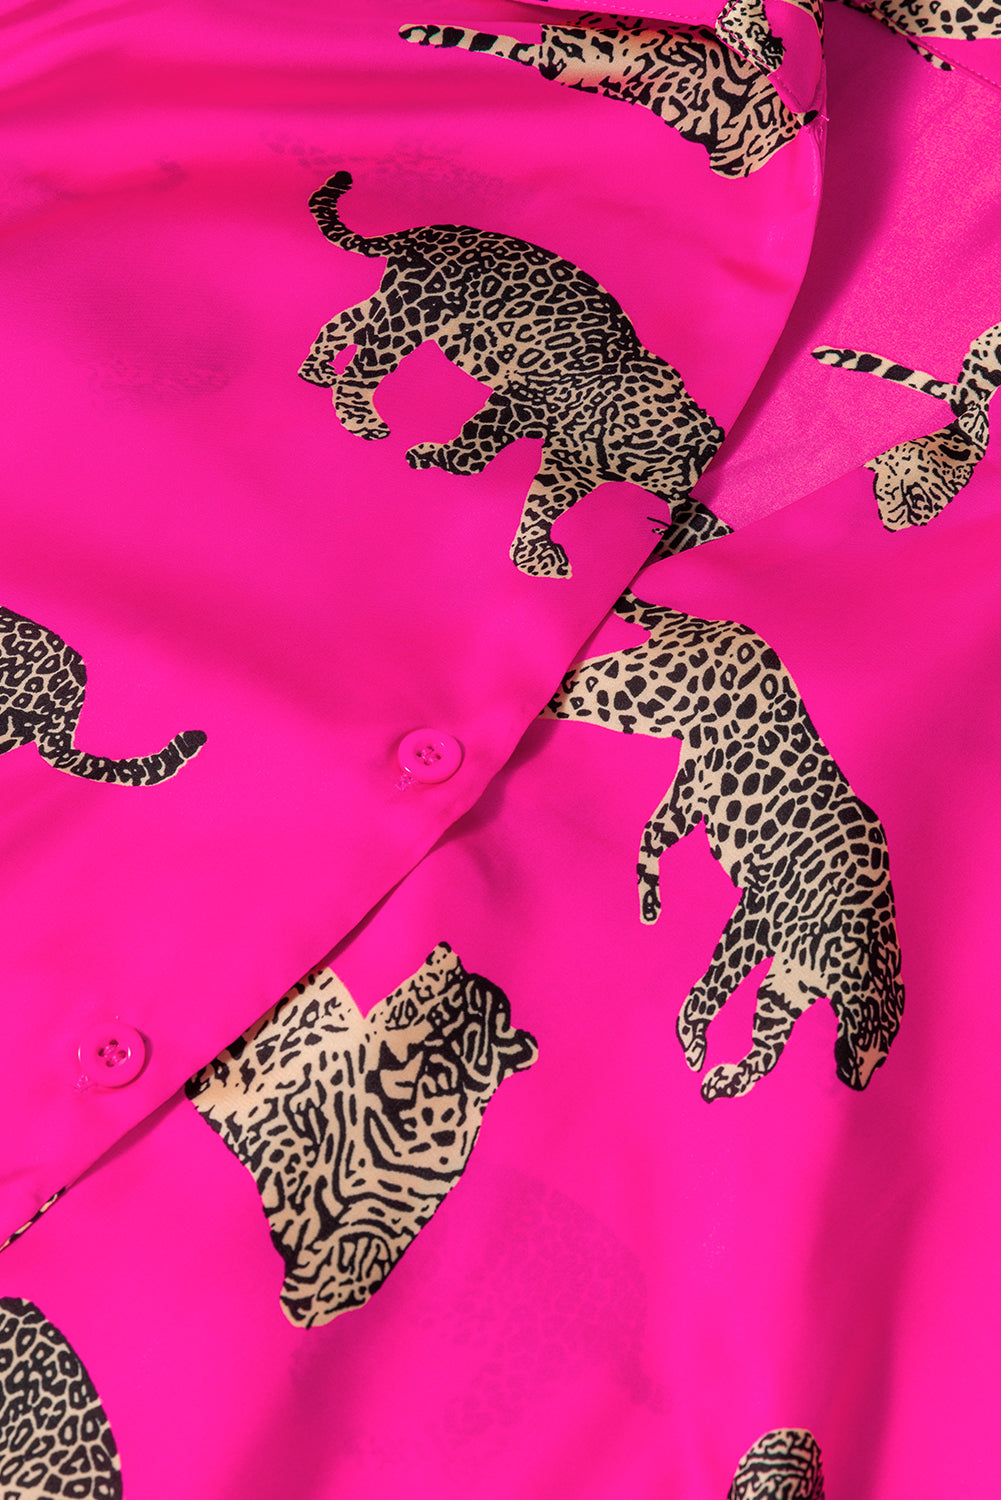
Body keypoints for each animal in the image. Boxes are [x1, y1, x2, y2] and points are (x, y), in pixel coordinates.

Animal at [186, 943, 538, 1328]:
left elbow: (364, 1246)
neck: (395, 1131)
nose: (406, 1060)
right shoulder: (293, 1107)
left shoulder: (395, 1212)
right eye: (408, 1011)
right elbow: (292, 1133)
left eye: (454, 1051)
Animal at [298, 171, 725, 578]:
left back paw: (317, 370)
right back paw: (360, 418)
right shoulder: (521, 401)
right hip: (415, 312)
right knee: (368, 360)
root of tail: (423, 233)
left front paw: (535, 555)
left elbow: (546, 503)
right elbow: (478, 441)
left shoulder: (571, 465)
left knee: (347, 322)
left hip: (395, 301)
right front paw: (440, 458)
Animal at [542, 590, 904, 1101]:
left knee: (651, 832)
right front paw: (693, 1035)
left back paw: (650, 902)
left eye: (889, 1052)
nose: (858, 1085)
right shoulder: (757, 913)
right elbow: (721, 977)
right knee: (579, 680)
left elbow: (768, 1047)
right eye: (877, 1032)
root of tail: (722, 626)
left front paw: (728, 1076)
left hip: (692, 788)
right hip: (639, 694)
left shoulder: (786, 984)